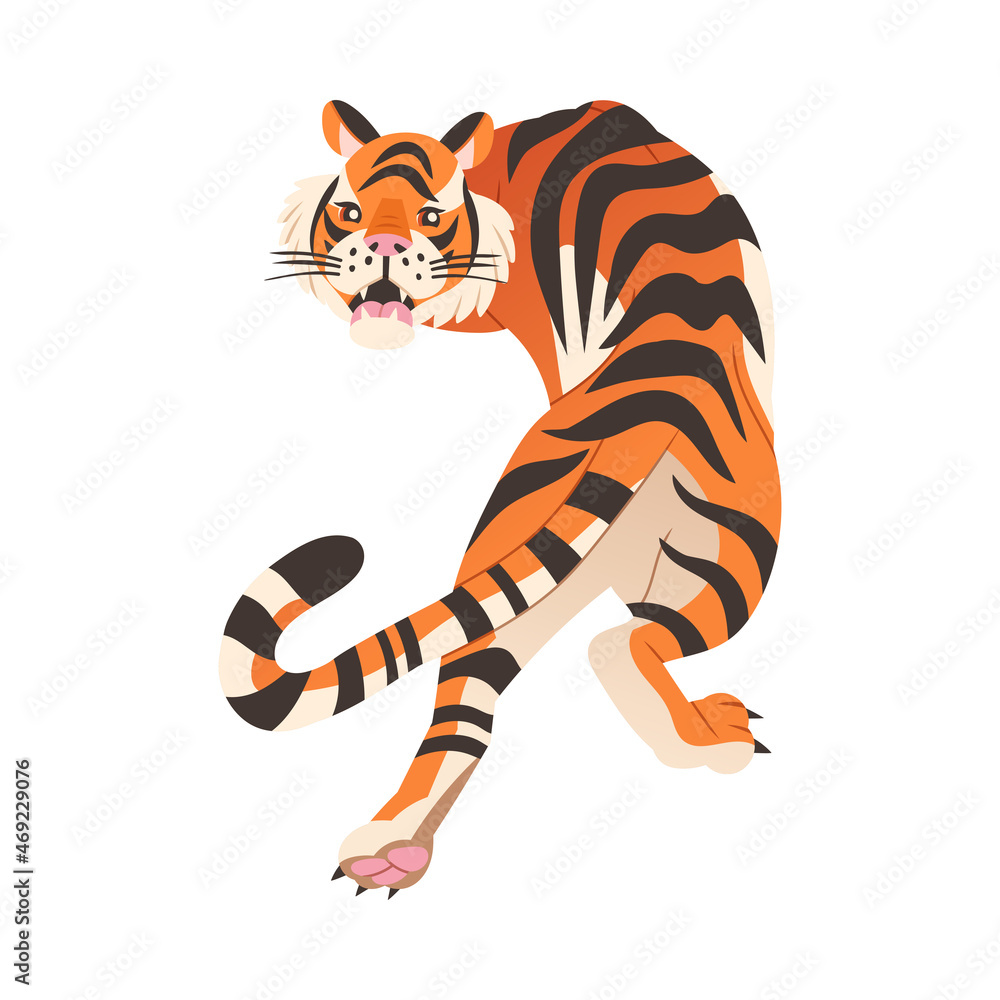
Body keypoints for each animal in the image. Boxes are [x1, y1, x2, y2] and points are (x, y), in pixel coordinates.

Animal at [219, 99, 780, 896]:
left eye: (430, 214)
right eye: (351, 209)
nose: (384, 245)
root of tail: (662, 383)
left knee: (556, 663)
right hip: (707, 554)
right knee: (591, 651)